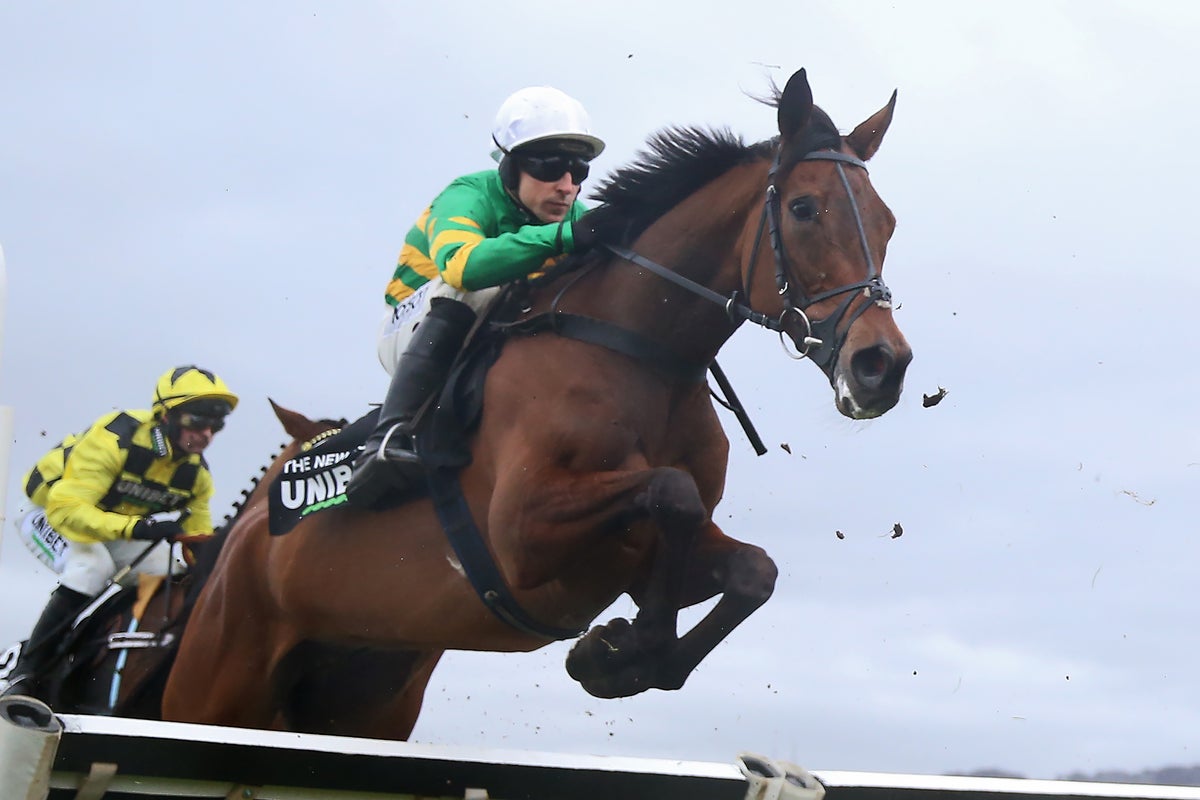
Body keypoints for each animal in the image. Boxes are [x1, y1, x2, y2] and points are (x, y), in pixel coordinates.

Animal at [161, 68, 912, 739]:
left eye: (888, 222)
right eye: (804, 209)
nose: (882, 365)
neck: (638, 352)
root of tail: (236, 547)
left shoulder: (636, 555)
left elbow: (754, 571)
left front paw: (620, 655)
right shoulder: (522, 534)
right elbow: (670, 490)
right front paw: (626, 647)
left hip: (361, 696)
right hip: (215, 686)